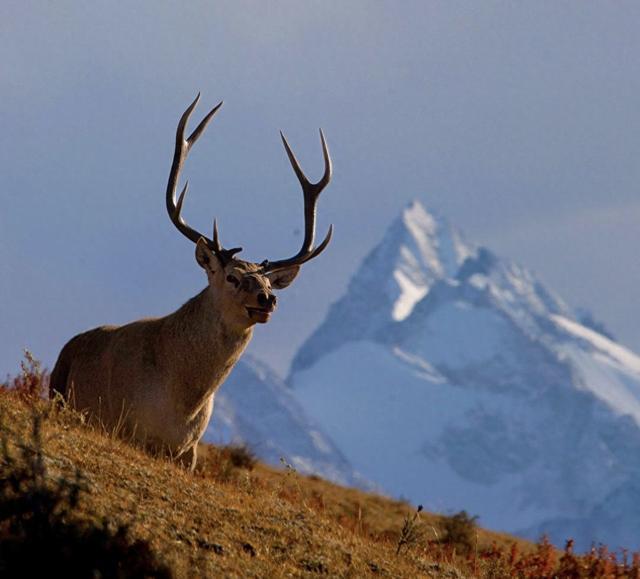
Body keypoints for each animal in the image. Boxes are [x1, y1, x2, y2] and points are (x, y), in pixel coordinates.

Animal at [49, 94, 333, 470]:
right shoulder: (124, 426)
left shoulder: (191, 452)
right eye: (232, 276)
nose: (267, 300)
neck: (182, 405)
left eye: (269, 284)